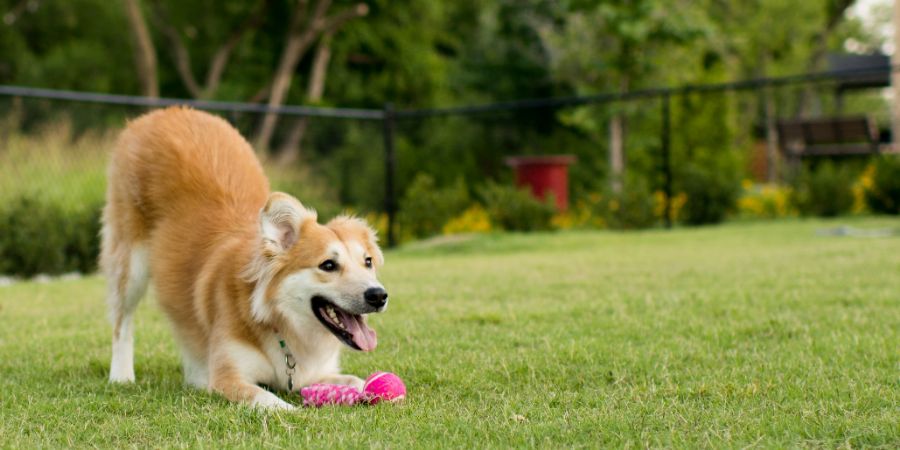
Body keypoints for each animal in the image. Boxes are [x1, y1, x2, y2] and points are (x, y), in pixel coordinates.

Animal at [101, 107, 386, 410]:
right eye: (328, 265)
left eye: (368, 262)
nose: (378, 295)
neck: (279, 321)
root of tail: (165, 112)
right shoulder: (228, 378)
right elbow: (267, 398)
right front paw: (292, 410)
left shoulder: (316, 373)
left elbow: (355, 380)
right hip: (130, 263)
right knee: (122, 322)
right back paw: (122, 375)